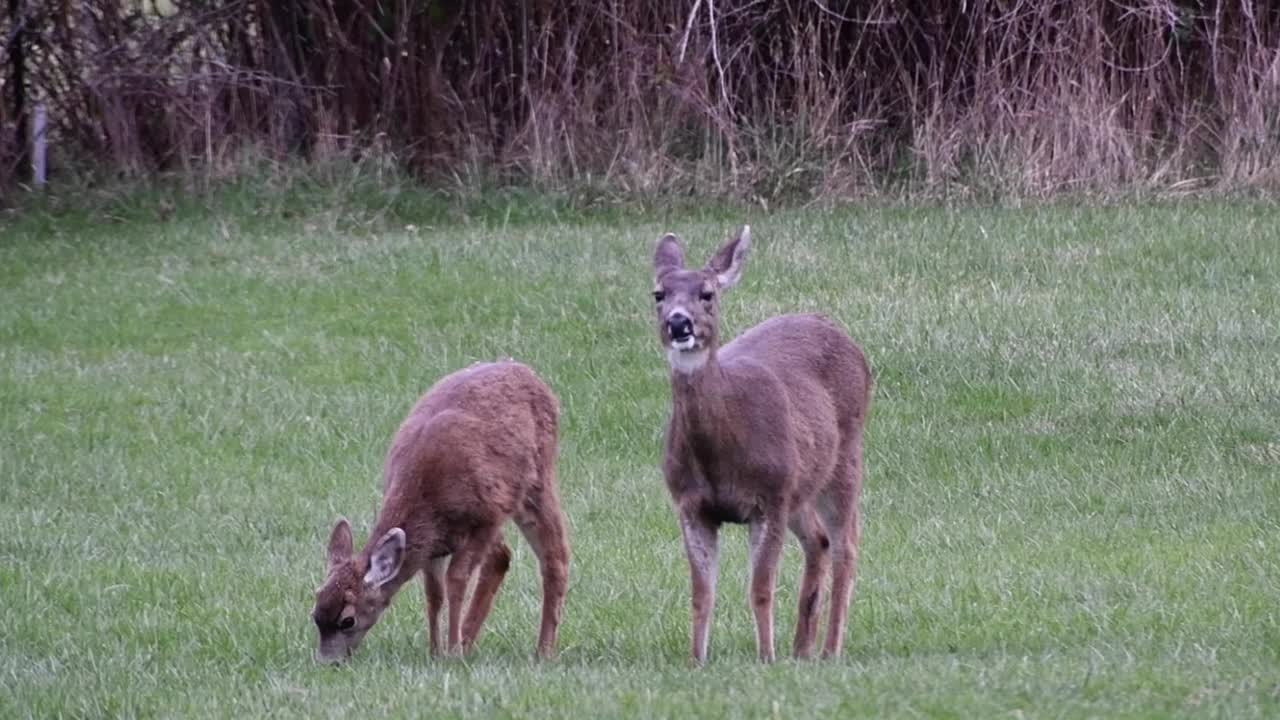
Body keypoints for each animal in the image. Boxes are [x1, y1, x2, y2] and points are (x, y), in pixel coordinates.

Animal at [309, 358, 570, 661]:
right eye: (315, 613)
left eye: (347, 620)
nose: (328, 661)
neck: (427, 496)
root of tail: (527, 371)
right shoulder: (432, 546)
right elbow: (434, 593)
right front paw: (435, 650)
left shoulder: (486, 518)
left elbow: (456, 580)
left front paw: (452, 651)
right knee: (502, 556)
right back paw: (469, 639)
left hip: (537, 481)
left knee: (555, 556)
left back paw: (543, 651)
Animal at [650, 225, 870, 661]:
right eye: (659, 294)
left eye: (707, 293)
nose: (679, 323)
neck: (721, 457)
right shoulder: (690, 503)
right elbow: (702, 594)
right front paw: (696, 660)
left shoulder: (769, 496)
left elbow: (761, 589)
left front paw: (766, 657)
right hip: (801, 485)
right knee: (818, 540)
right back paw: (801, 649)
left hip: (845, 457)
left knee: (847, 546)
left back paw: (829, 650)